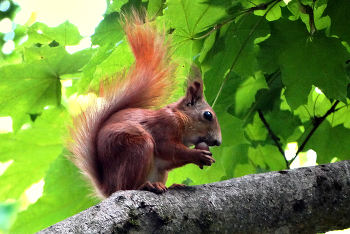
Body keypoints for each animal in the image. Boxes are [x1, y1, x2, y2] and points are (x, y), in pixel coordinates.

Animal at [68, 11, 221, 199]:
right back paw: (146, 186)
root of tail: (108, 188)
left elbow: (170, 160)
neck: (179, 118)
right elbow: (168, 148)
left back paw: (170, 185)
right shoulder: (164, 126)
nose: (218, 142)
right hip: (137, 147)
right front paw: (197, 155)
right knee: (127, 186)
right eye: (208, 115)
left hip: (158, 170)